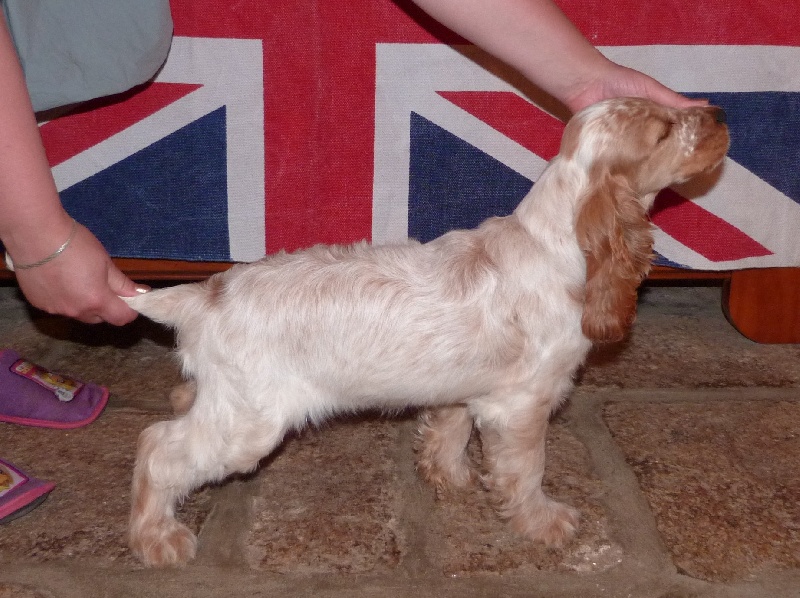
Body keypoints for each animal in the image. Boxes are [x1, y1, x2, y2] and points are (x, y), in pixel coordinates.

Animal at [125, 97, 732, 568]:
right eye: (663, 131)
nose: (720, 113)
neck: (553, 241)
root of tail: (203, 295)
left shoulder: (468, 389)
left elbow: (449, 429)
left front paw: (448, 475)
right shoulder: (522, 406)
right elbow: (526, 470)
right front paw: (544, 523)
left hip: (225, 403)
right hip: (248, 424)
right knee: (158, 448)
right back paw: (158, 538)